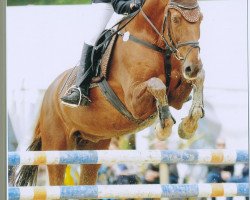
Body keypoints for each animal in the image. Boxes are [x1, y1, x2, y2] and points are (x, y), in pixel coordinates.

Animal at [15, 0, 204, 186]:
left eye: (201, 19)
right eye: (176, 19)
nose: (192, 66)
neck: (153, 42)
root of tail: (48, 93)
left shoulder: (176, 96)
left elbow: (198, 78)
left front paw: (188, 125)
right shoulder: (134, 103)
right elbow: (157, 85)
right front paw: (164, 126)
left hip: (92, 146)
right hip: (57, 148)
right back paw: (74, 95)